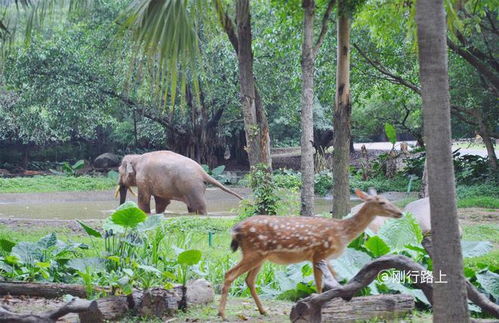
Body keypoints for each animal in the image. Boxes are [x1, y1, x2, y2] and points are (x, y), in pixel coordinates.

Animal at [115, 151, 244, 215]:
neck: (137, 158)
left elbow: (144, 199)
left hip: (192, 186)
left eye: (119, 171)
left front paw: (145, 214)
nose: (118, 210)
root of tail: (202, 171)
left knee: (200, 206)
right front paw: (158, 214)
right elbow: (162, 202)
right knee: (192, 207)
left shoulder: (143, 179)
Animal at [218, 189, 402, 320]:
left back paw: (263, 311)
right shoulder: (319, 252)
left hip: (261, 256)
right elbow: (319, 283)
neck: (342, 232)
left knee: (249, 279)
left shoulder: (324, 257)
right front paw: (318, 307)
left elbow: (334, 278)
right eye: (382, 202)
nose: (400, 213)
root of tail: (236, 230)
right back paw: (222, 314)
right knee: (230, 274)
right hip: (254, 252)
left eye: (388, 200)